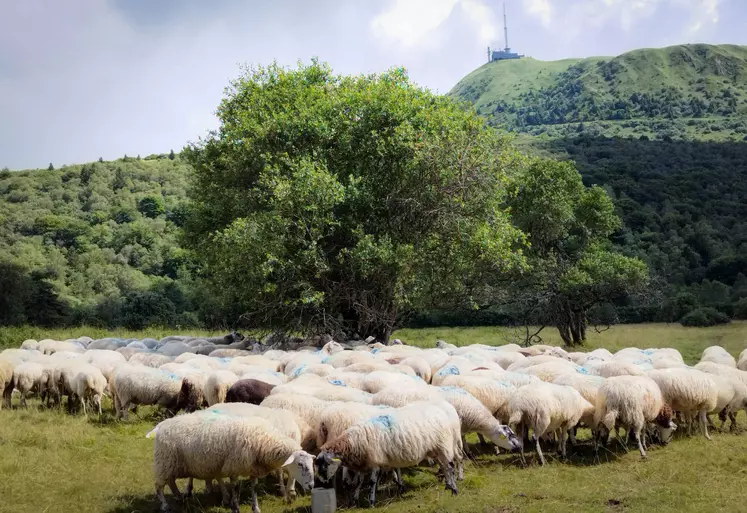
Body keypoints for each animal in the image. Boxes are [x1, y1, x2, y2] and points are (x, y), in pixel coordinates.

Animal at [148, 410, 314, 513]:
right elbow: (234, 487)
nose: (311, 486)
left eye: (312, 465)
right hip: (164, 460)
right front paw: (235, 507)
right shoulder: (234, 465)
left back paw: (178, 497)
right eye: (299, 464)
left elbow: (254, 488)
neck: (263, 440)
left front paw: (255, 508)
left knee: (171, 481)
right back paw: (165, 506)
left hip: (172, 464)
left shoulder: (252, 468)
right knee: (159, 486)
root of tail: (161, 425)